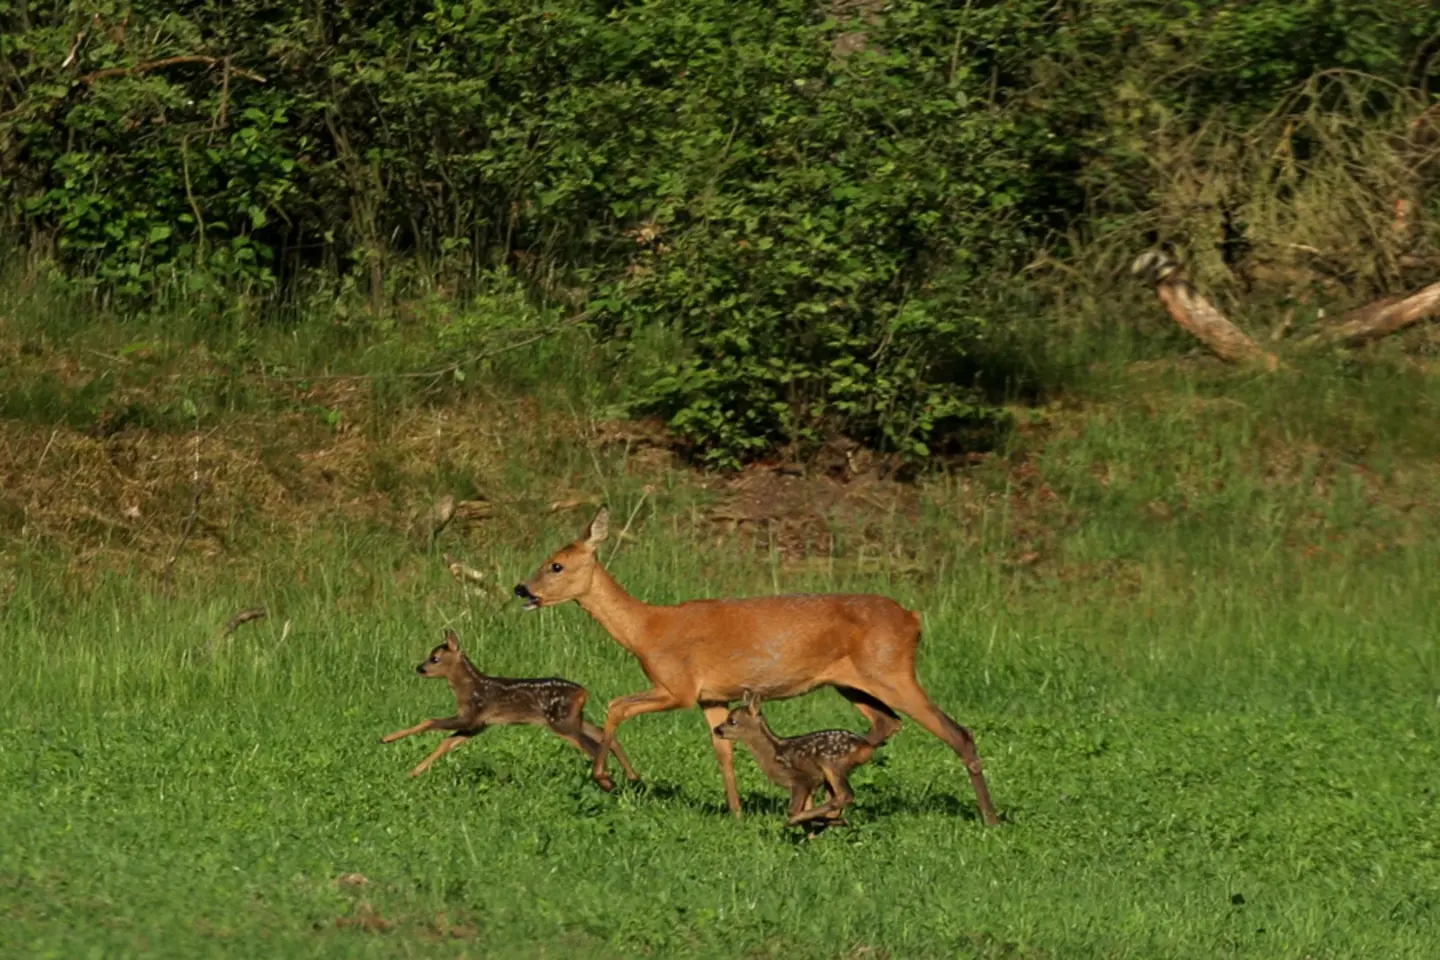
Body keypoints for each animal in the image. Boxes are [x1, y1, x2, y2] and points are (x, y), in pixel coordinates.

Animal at [518, 506, 1002, 823]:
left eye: (556, 565)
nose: (522, 589)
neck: (647, 630)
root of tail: (913, 620)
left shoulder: (678, 687)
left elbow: (617, 705)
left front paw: (611, 777)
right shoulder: (711, 697)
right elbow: (723, 752)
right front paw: (735, 812)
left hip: (893, 671)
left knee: (958, 733)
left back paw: (989, 818)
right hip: (854, 682)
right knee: (887, 725)